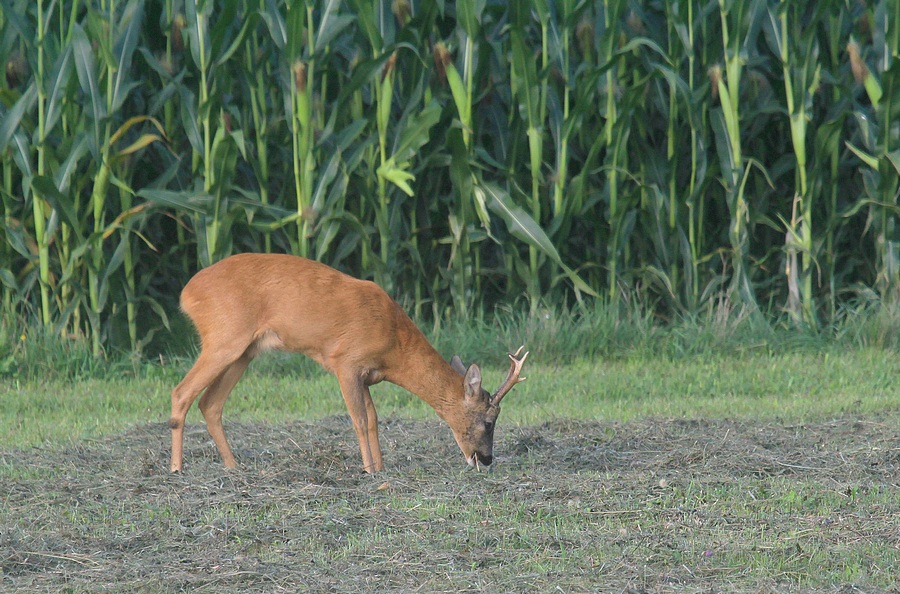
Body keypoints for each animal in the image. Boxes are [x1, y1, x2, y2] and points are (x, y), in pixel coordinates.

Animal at [169, 253, 528, 472]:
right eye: (489, 421)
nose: (486, 458)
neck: (394, 343)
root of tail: (186, 293)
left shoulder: (368, 374)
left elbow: (373, 419)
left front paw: (380, 468)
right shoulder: (345, 362)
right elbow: (358, 419)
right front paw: (369, 470)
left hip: (245, 350)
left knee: (210, 403)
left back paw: (233, 467)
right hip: (224, 338)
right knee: (181, 392)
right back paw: (177, 468)